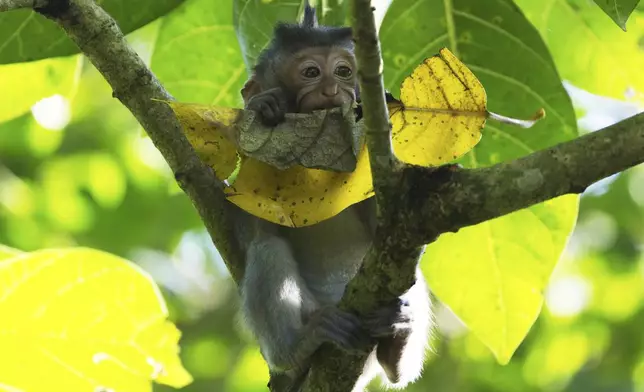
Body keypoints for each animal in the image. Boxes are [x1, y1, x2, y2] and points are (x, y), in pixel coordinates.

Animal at [231, 2, 432, 388]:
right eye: (311, 72)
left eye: (343, 71)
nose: (330, 89)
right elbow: (250, 223)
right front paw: (264, 105)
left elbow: (387, 232)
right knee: (268, 248)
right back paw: (299, 347)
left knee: (407, 275)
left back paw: (396, 348)